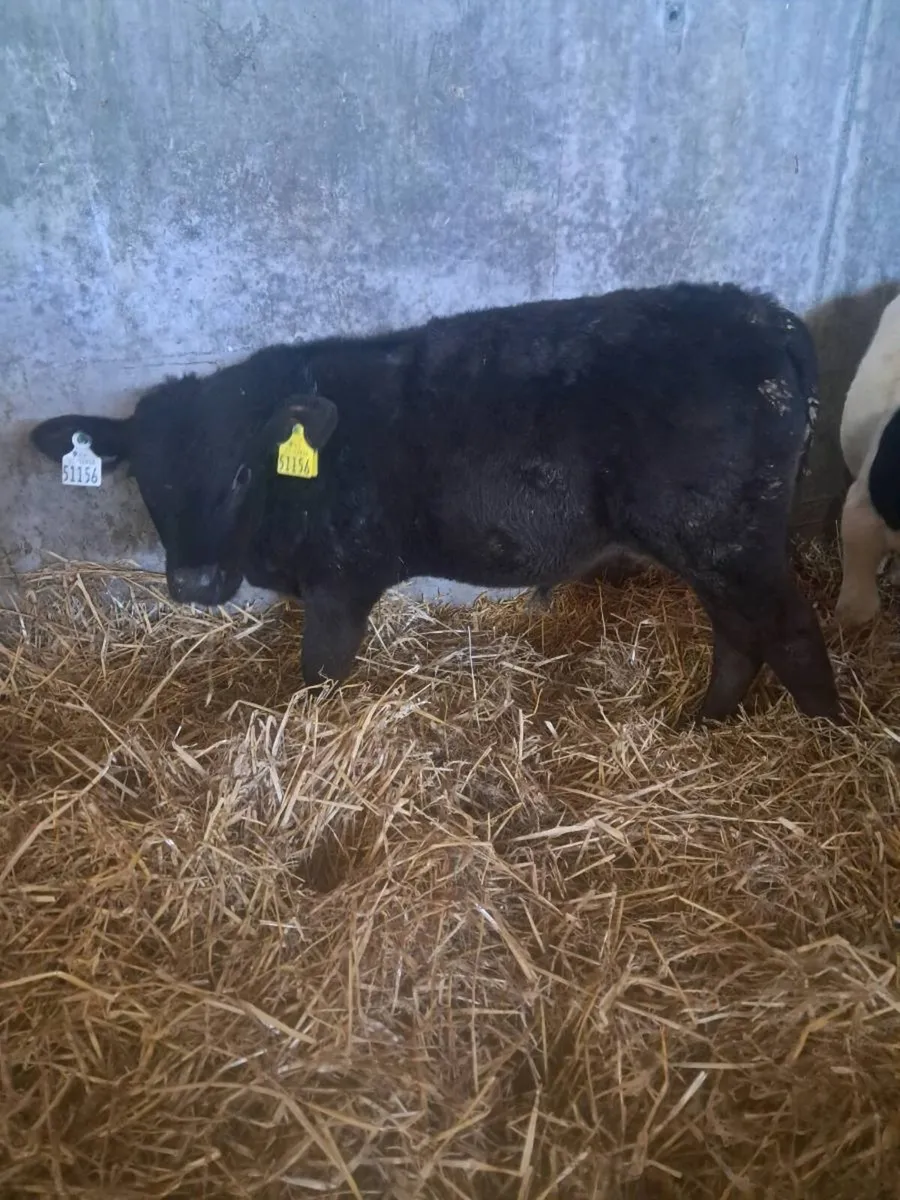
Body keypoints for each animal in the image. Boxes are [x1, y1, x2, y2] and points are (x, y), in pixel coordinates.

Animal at [30, 282, 840, 724]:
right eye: (147, 477)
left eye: (237, 474)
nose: (195, 583)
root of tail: (767, 316)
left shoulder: (341, 579)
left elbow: (320, 673)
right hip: (713, 543)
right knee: (738, 632)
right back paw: (702, 723)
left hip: (729, 538)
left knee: (790, 629)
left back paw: (822, 737)